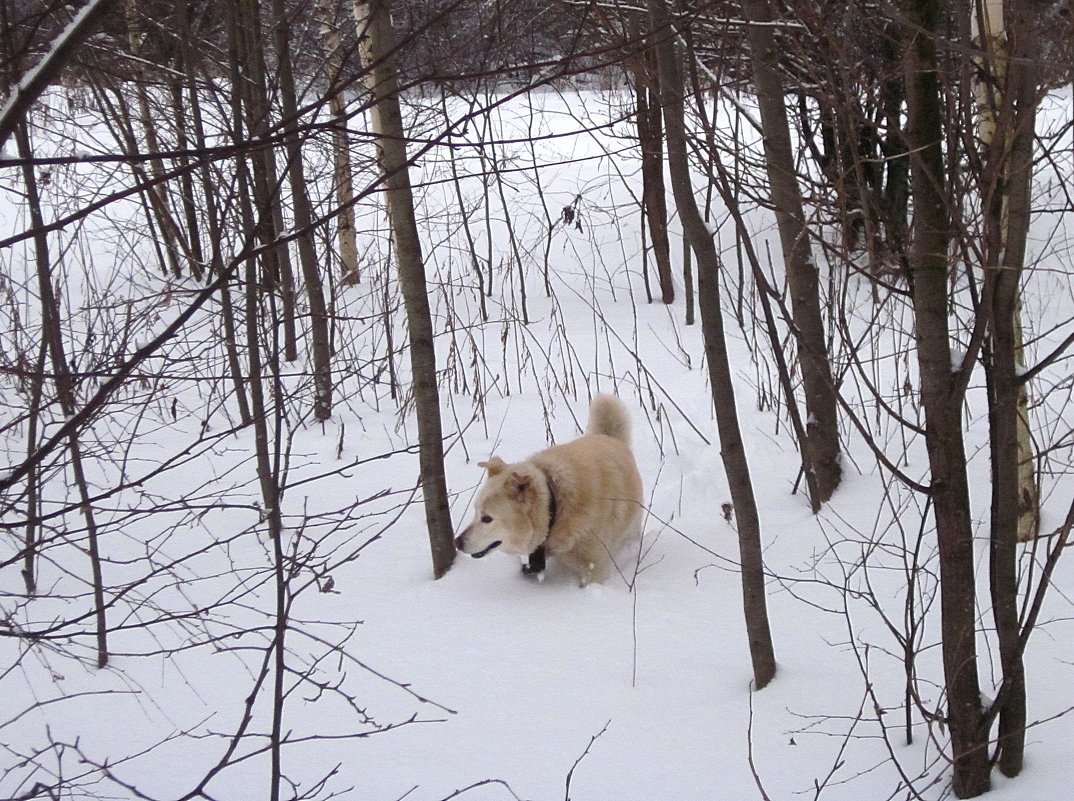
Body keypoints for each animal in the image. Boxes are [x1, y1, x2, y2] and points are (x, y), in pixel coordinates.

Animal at [455, 395, 640, 588]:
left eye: (487, 519)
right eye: (476, 512)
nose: (457, 542)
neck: (555, 506)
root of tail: (608, 437)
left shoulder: (594, 568)